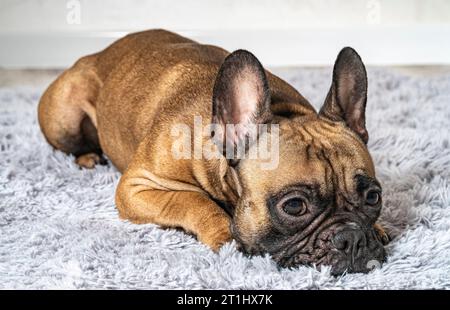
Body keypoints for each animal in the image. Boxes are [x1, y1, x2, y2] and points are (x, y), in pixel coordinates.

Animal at [38, 29, 388, 274]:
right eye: (294, 206)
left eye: (374, 197)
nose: (353, 239)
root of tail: (98, 53)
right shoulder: (136, 187)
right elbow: (190, 200)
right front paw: (225, 233)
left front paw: (377, 228)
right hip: (63, 120)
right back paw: (87, 157)